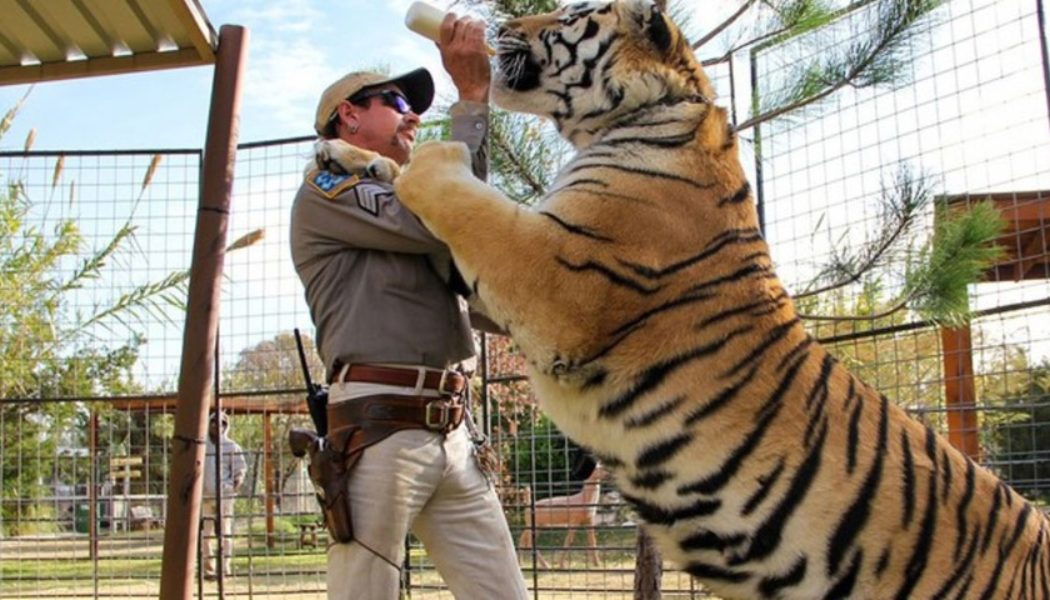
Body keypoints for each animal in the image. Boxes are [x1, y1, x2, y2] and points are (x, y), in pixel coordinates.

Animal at [323, 0, 1050, 597]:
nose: (500, 24)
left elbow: (458, 192)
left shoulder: (555, 276)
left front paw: (420, 154)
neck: (640, 114)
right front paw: (343, 152)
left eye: (569, 15)